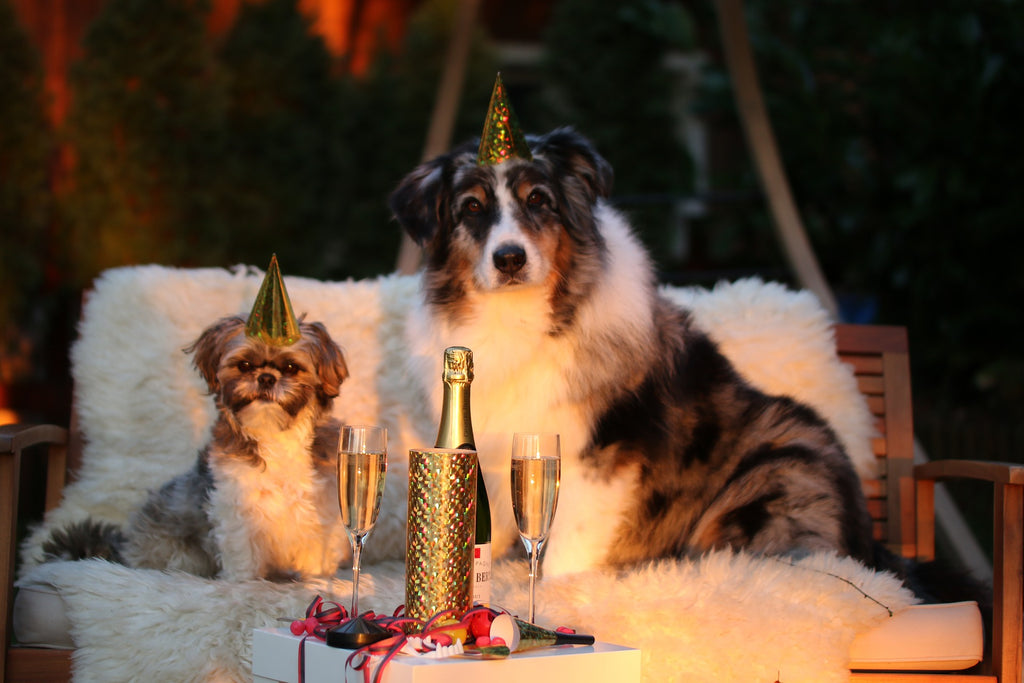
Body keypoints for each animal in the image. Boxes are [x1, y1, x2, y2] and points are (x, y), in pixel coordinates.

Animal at [391, 126, 880, 577]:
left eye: (538, 200)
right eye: (472, 207)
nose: (510, 259)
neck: (520, 315)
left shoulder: (605, 451)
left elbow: (569, 543)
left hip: (778, 463)